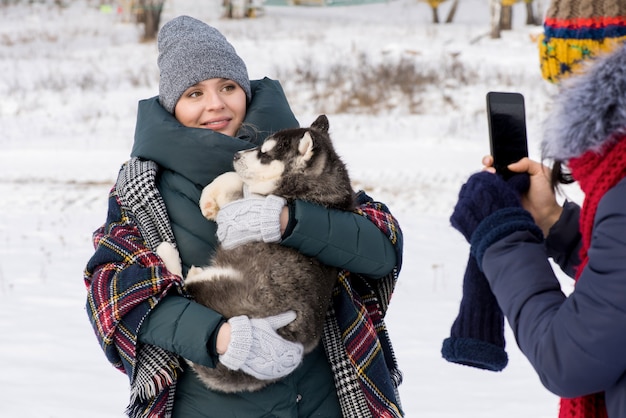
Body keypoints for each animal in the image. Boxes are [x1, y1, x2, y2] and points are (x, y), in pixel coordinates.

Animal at [156, 114, 354, 392]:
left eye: (265, 154)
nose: (236, 154)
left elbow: (241, 181)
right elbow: (235, 178)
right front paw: (210, 197)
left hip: (228, 283)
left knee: (186, 284)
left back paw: (170, 256)